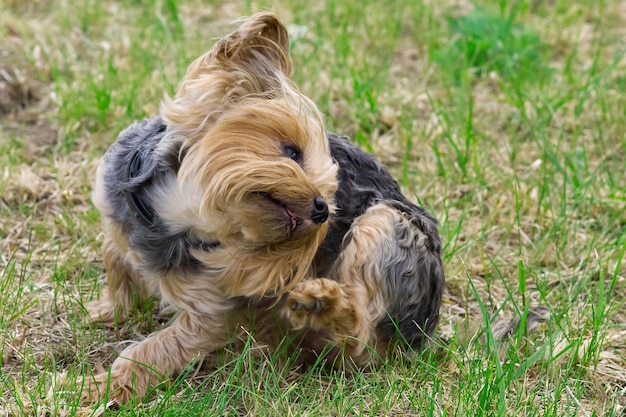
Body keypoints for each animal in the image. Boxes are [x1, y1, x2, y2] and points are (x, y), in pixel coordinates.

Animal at [83, 12, 444, 404]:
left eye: (330, 194)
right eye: (292, 152)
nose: (322, 210)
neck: (176, 216)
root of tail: (424, 329)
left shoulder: (211, 307)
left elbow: (156, 349)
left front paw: (98, 388)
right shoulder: (113, 212)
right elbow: (117, 266)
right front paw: (108, 310)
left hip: (384, 226)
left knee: (360, 341)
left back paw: (320, 302)